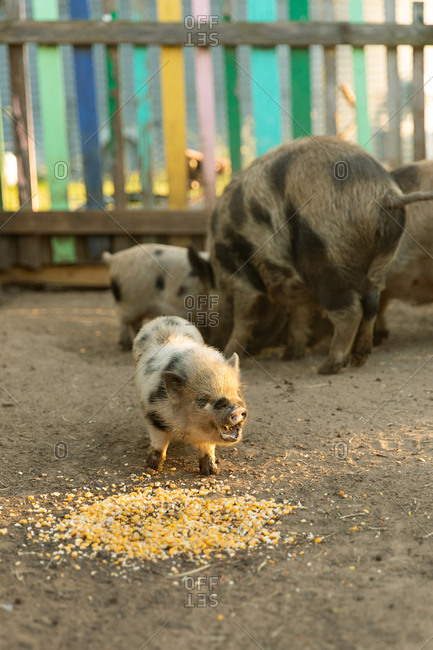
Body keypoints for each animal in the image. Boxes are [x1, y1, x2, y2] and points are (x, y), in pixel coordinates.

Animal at [132, 315, 247, 475]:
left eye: (236, 392)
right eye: (202, 399)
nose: (236, 410)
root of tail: (165, 317)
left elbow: (208, 447)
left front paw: (211, 472)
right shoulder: (153, 416)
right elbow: (159, 443)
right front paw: (152, 467)